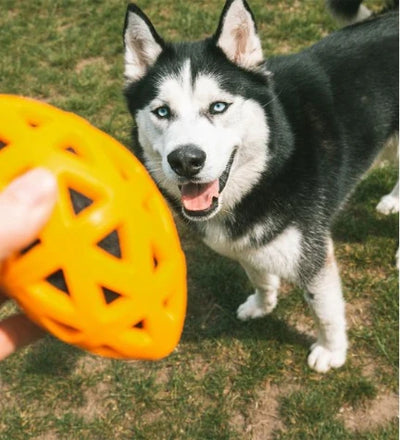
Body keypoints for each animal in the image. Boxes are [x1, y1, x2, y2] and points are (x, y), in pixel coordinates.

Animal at [123, 0, 398, 372]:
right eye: (162, 112)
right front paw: (262, 305)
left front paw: (332, 351)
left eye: (218, 106)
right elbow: (260, 277)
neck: (273, 161)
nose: (185, 161)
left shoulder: (312, 254)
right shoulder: (246, 244)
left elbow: (324, 310)